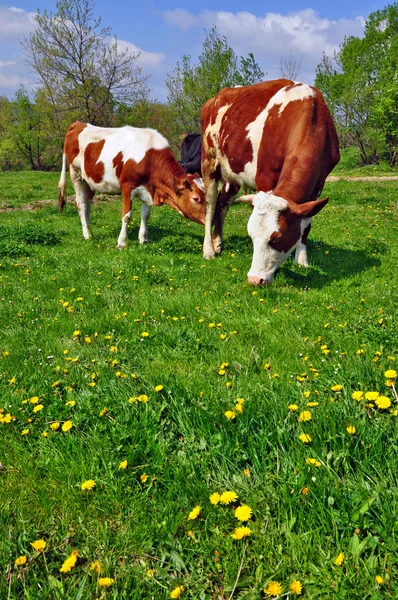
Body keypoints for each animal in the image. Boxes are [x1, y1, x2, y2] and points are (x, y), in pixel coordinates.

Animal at [58, 122, 205, 246]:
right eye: (195, 198)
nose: (208, 219)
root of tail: (78, 123)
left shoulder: (148, 190)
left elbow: (145, 215)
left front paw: (143, 239)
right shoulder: (127, 188)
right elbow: (127, 216)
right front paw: (122, 242)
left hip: (90, 181)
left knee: (88, 204)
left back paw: (89, 228)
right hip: (76, 174)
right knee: (81, 204)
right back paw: (87, 234)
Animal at [201, 78, 340, 284]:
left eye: (276, 238)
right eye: (251, 236)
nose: (254, 279)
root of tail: (216, 97)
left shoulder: (318, 184)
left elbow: (305, 225)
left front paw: (301, 260)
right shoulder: (264, 175)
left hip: (233, 173)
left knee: (223, 202)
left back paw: (218, 243)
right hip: (209, 162)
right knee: (210, 205)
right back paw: (209, 250)